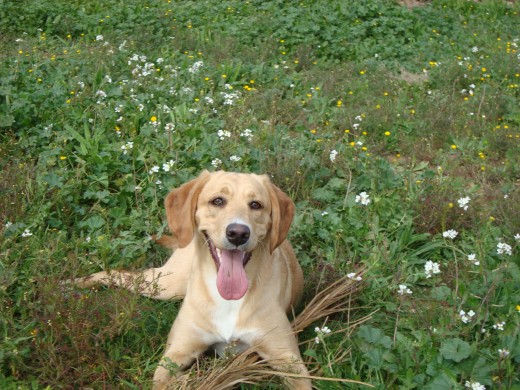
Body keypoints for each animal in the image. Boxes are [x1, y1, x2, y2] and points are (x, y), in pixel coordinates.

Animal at [74, 171, 310, 390]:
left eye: (256, 205)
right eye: (217, 201)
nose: (238, 233)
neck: (228, 300)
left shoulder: (289, 360)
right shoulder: (175, 354)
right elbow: (170, 380)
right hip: (164, 285)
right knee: (120, 274)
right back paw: (77, 283)